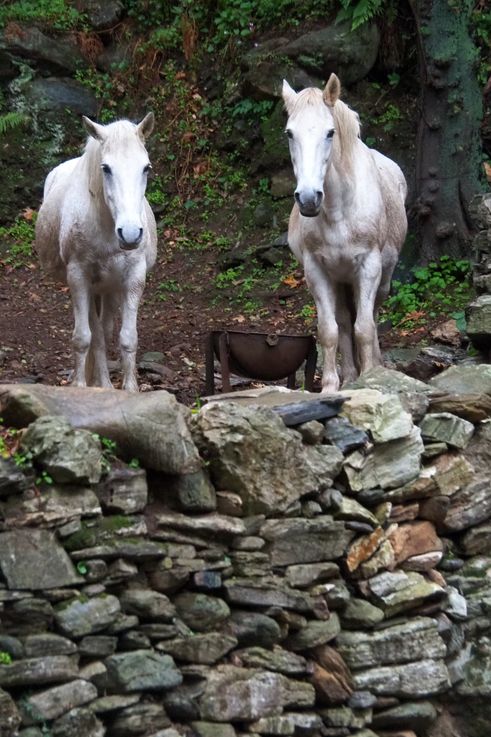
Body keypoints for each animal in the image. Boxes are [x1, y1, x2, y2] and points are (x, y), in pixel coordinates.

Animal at [35, 114, 157, 392]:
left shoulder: (134, 279)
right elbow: (83, 337)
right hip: (88, 287)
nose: (131, 234)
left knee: (105, 330)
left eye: (146, 168)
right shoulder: (79, 277)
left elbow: (128, 338)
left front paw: (130, 390)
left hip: (109, 288)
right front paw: (80, 387)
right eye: (106, 168)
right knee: (96, 333)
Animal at [282, 73, 407, 393]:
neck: (338, 211)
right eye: (290, 133)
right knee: (343, 321)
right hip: (339, 280)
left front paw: (371, 378)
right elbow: (330, 330)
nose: (309, 199)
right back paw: (350, 375)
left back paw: (373, 366)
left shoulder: (369, 267)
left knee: (371, 317)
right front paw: (330, 386)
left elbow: (365, 327)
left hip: (381, 278)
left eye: (330, 133)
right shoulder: (317, 271)